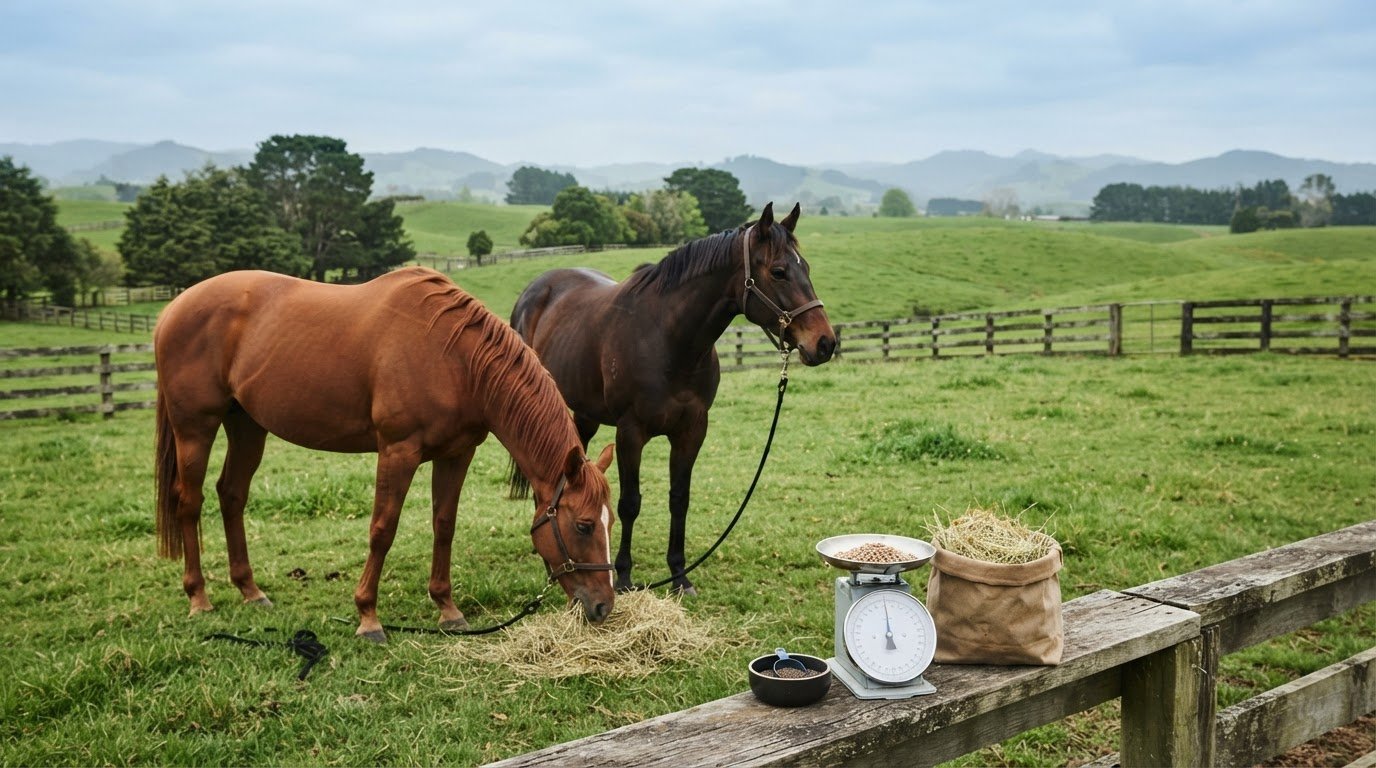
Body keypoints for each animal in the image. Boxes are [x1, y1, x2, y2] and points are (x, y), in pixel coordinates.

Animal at [153, 266, 617, 642]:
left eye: (608, 522)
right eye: (584, 525)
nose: (603, 606)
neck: (453, 358)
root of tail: (174, 308)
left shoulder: (458, 453)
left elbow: (444, 525)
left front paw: (447, 609)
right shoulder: (398, 451)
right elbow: (383, 529)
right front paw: (368, 617)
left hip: (247, 426)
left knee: (231, 495)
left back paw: (250, 591)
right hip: (195, 427)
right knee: (189, 502)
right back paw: (199, 597)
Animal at [509, 202, 836, 594]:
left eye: (807, 268)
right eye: (779, 271)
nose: (825, 342)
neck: (667, 339)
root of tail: (537, 288)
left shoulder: (691, 430)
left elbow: (679, 499)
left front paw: (680, 575)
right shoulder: (630, 432)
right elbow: (630, 503)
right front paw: (623, 576)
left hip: (586, 413)